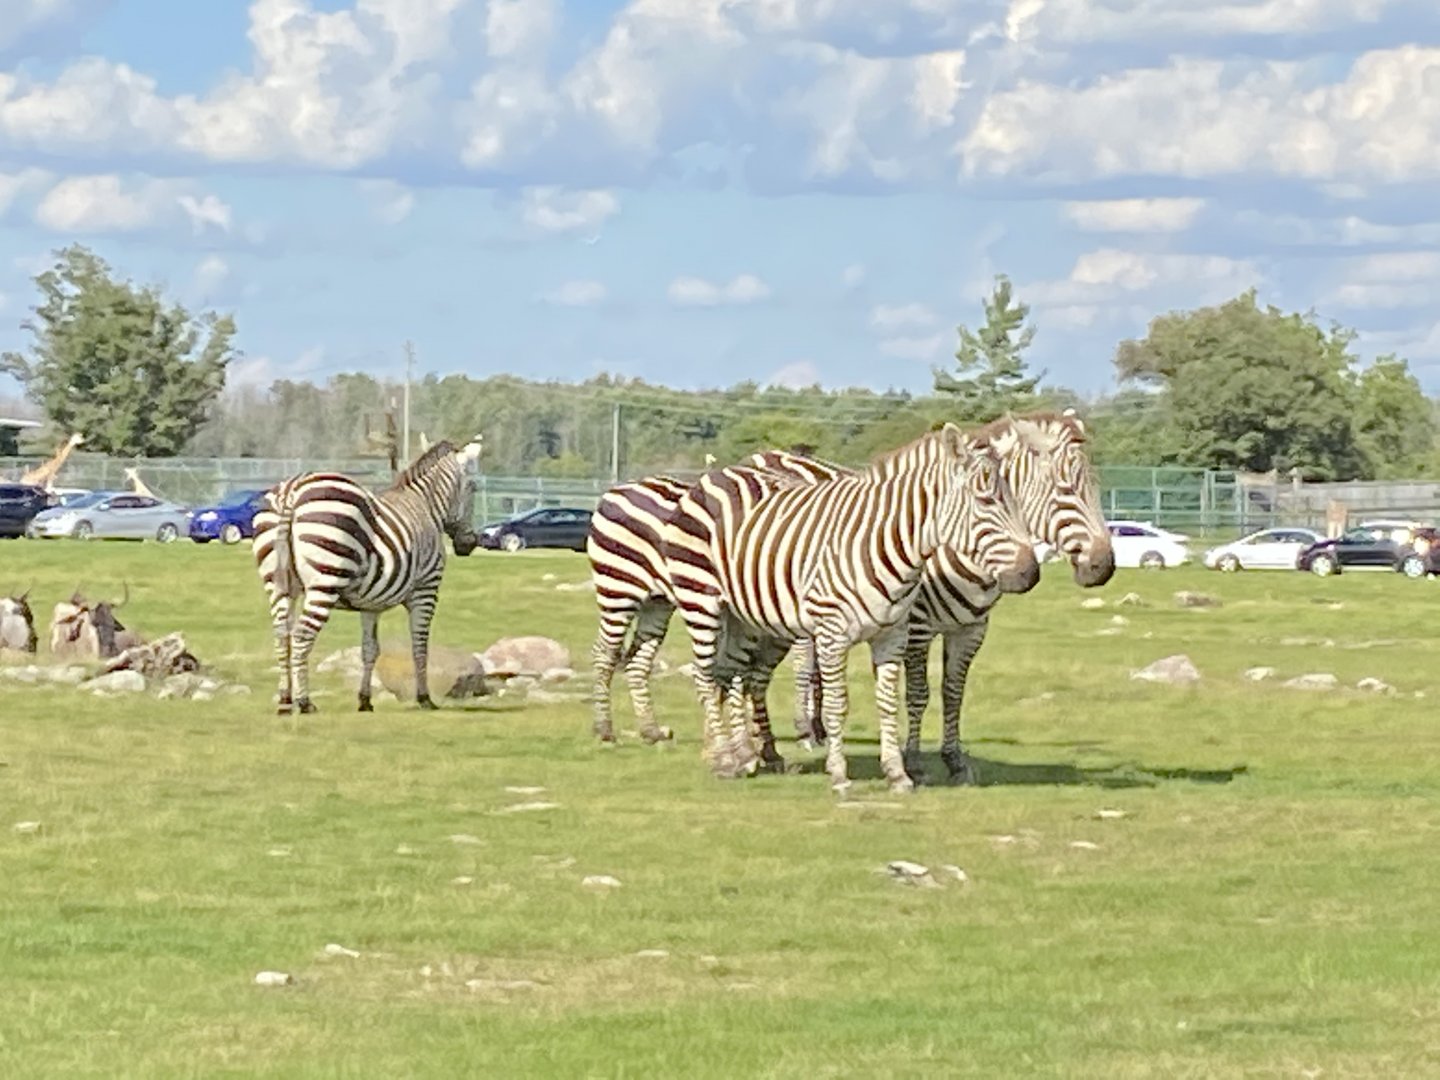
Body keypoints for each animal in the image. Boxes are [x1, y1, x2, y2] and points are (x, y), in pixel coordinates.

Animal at [253, 436, 483, 715]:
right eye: (473, 487)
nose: (469, 544)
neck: (426, 507)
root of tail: (293, 490)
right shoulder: (426, 589)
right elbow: (419, 645)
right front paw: (424, 698)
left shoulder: (371, 602)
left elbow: (370, 649)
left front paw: (365, 700)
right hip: (325, 580)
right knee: (301, 637)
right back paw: (304, 702)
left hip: (277, 585)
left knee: (282, 637)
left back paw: (285, 700)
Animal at [665, 423, 1039, 793]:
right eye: (985, 500)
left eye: (1017, 501)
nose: (1030, 574)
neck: (887, 543)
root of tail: (715, 475)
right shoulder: (837, 632)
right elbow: (838, 704)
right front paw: (840, 774)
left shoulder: (894, 634)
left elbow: (889, 702)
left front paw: (897, 773)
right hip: (701, 602)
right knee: (705, 676)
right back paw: (724, 760)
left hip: (742, 616)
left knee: (729, 673)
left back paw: (743, 757)